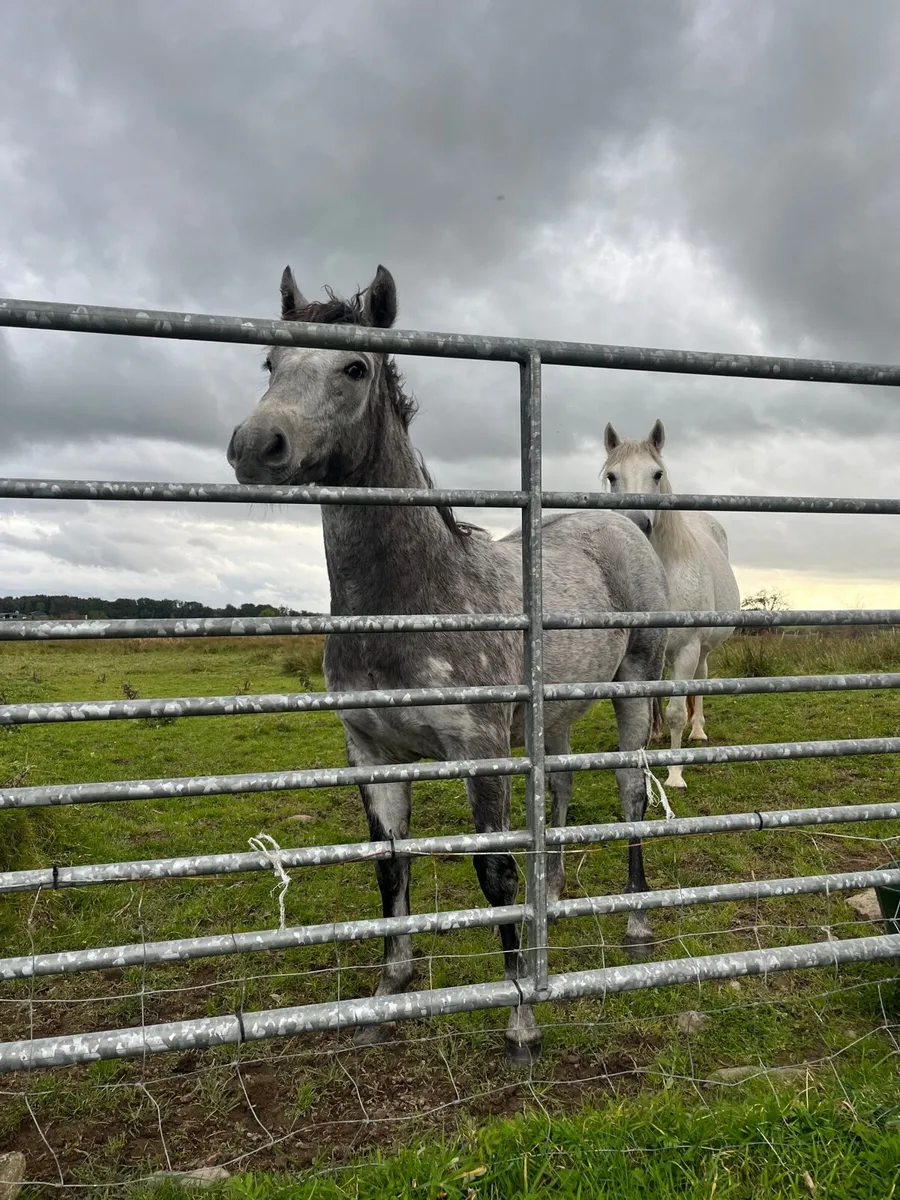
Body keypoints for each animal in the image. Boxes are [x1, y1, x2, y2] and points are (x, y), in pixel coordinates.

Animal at [227, 264, 668, 1064]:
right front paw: (385, 995)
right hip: (553, 715)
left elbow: (493, 870)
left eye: (355, 367)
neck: (417, 600)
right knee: (558, 791)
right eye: (269, 363)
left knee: (629, 793)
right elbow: (389, 866)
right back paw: (554, 901)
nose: (256, 444)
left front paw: (521, 1018)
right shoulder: (370, 752)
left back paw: (637, 922)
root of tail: (627, 523)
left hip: (634, 688)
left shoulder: (479, 748)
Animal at [602, 420, 741, 789]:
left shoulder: (687, 649)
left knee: (700, 681)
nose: (637, 524)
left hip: (702, 650)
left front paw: (675, 774)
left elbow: (678, 711)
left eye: (657, 474)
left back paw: (698, 730)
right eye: (612, 476)